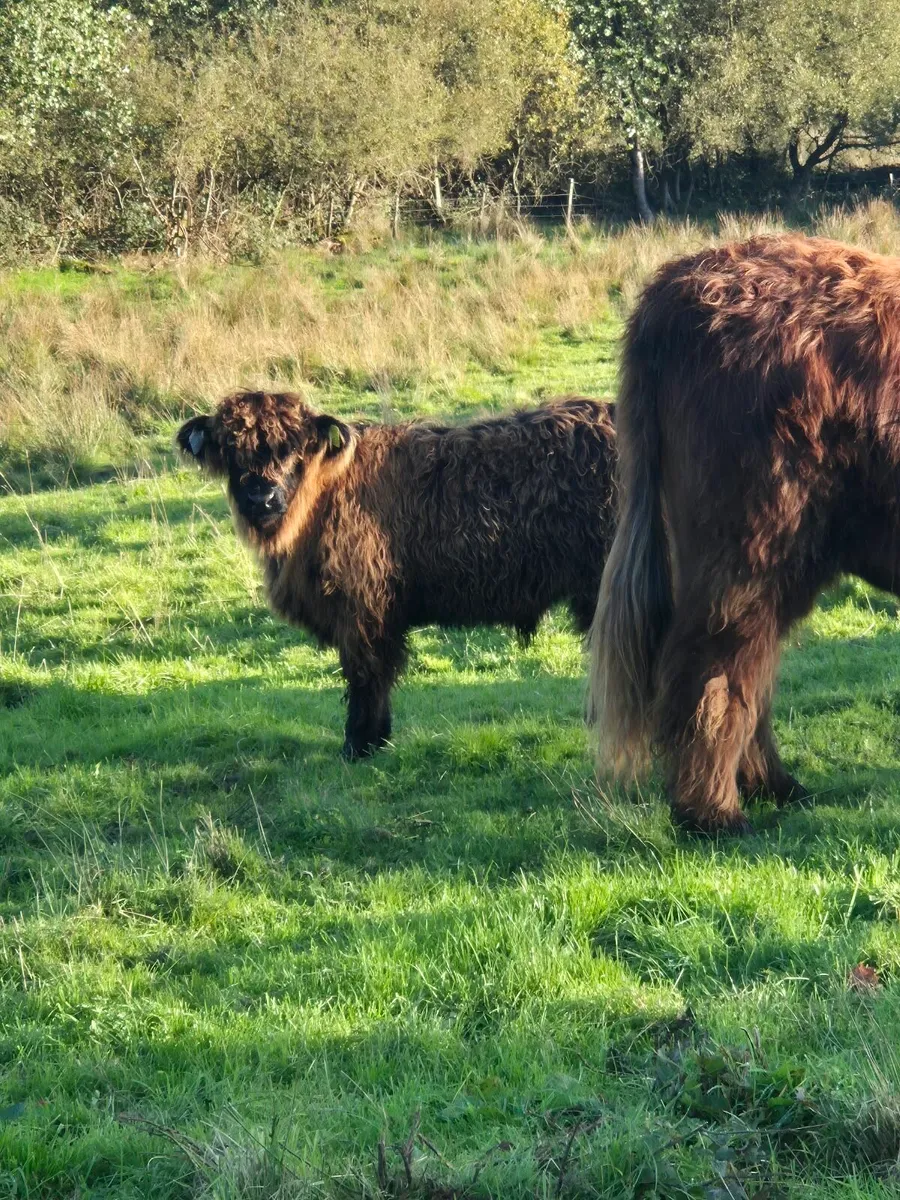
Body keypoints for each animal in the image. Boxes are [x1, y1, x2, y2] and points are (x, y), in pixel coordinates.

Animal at [179, 391, 616, 759]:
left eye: (295, 447)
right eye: (231, 449)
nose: (262, 497)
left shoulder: (363, 608)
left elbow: (367, 674)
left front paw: (360, 744)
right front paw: (375, 738)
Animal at [589, 233, 900, 833]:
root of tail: (674, 285)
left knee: (750, 666)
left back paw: (770, 787)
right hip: (752, 539)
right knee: (714, 664)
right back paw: (715, 812)